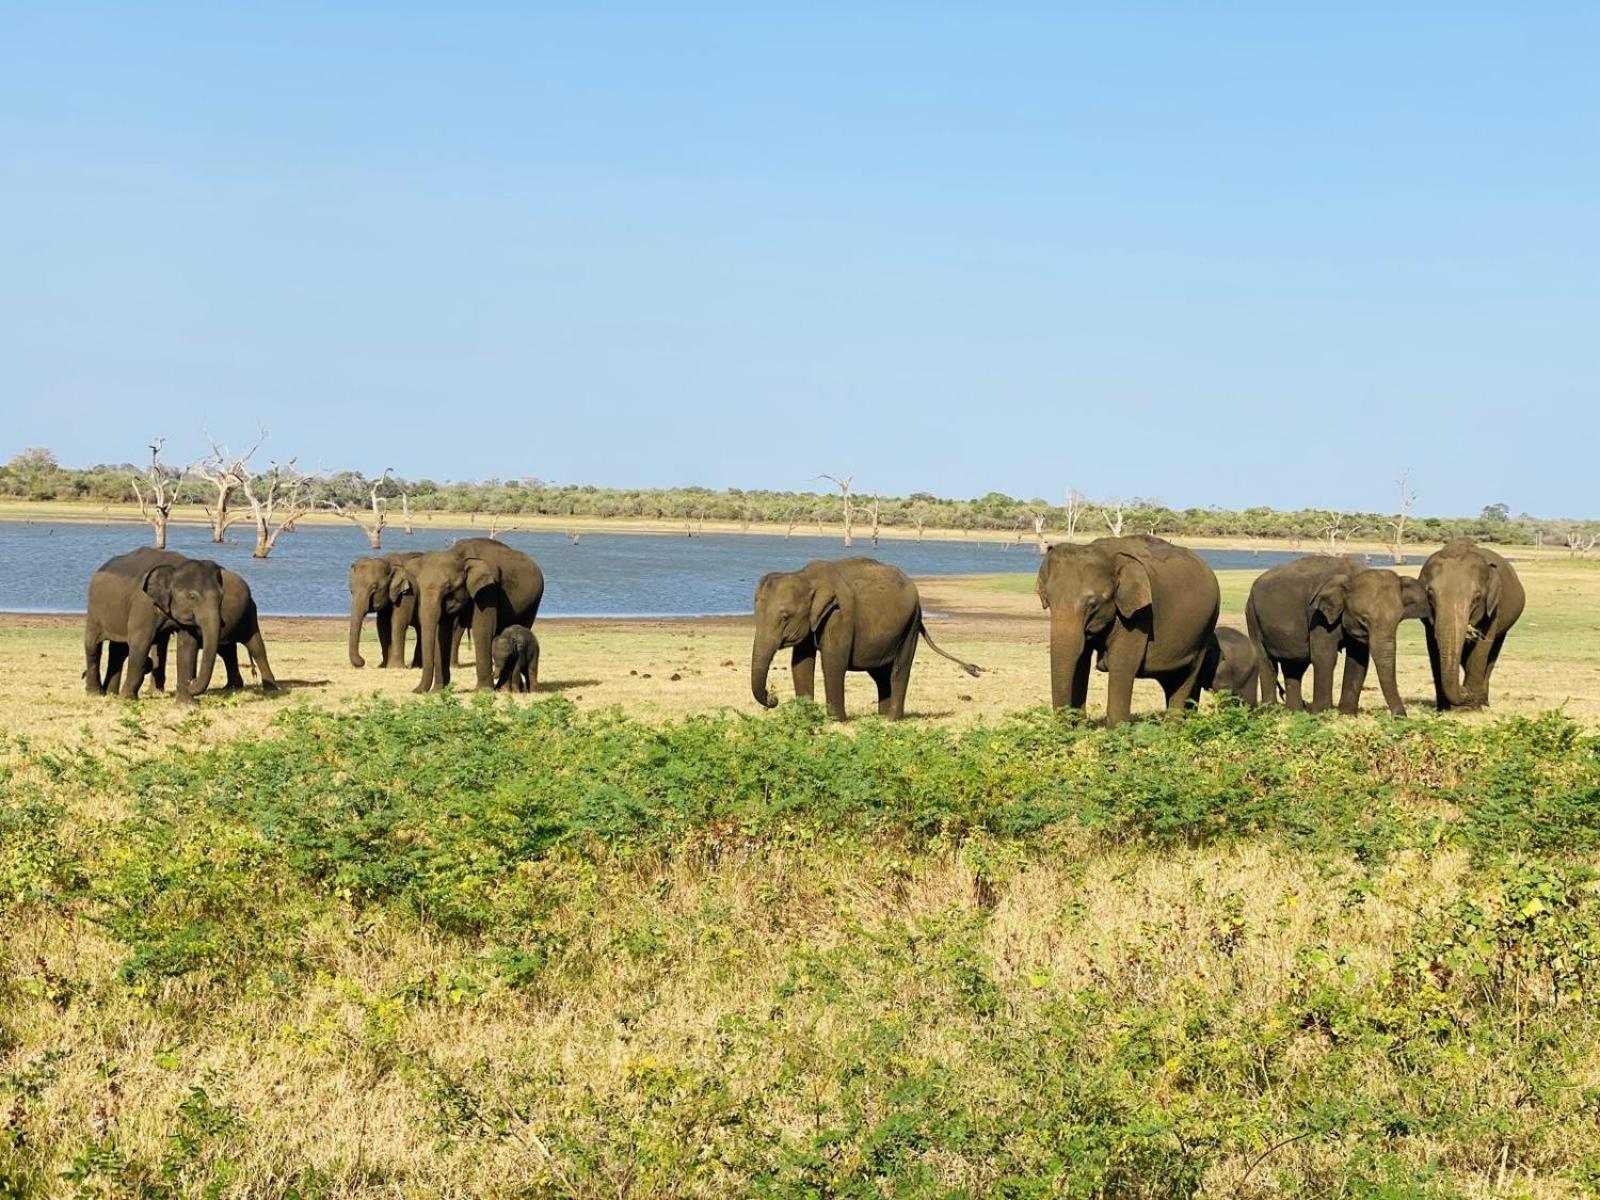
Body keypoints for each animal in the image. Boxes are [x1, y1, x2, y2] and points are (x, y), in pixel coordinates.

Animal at [409, 537, 547, 694]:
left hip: (534, 602)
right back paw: (504, 688)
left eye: (449, 588)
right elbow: (443, 632)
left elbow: (482, 629)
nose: (415, 690)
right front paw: (439, 690)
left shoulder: (488, 590)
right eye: (419, 587)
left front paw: (483, 690)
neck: (458, 555)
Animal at [748, 556, 972, 723]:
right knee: (881, 674)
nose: (773, 697)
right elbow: (800, 663)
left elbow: (833, 661)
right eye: (756, 614)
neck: (805, 575)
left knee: (900, 669)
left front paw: (836, 720)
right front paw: (805, 717)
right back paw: (881, 716)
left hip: (911, 623)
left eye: (785, 617)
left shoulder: (840, 616)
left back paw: (892, 719)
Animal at [1030, 537, 1216, 729]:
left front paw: (1115, 732)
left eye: (1092, 605)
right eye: (1048, 601)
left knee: (1188, 676)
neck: (1109, 554)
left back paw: (1173, 728)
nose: (1066, 726)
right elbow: (1081, 661)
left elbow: (1122, 664)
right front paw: (1081, 728)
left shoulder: (1139, 615)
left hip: (1206, 627)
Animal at [1248, 560, 1427, 720]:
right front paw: (1322, 716)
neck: (1353, 574)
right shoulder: (1317, 616)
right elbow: (1325, 657)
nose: (1400, 717)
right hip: (1252, 617)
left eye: (1398, 620)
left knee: (1294, 666)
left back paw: (1295, 713)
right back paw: (1270, 712)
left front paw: (1347, 716)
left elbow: (1358, 660)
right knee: (1266, 662)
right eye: (1363, 620)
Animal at [1427, 540, 1523, 710]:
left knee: (1492, 655)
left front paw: (1471, 708)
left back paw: (1484, 703)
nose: (1464, 690)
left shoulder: (1493, 609)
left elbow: (1482, 647)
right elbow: (1433, 647)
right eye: (1430, 594)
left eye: (1477, 598)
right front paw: (1445, 709)